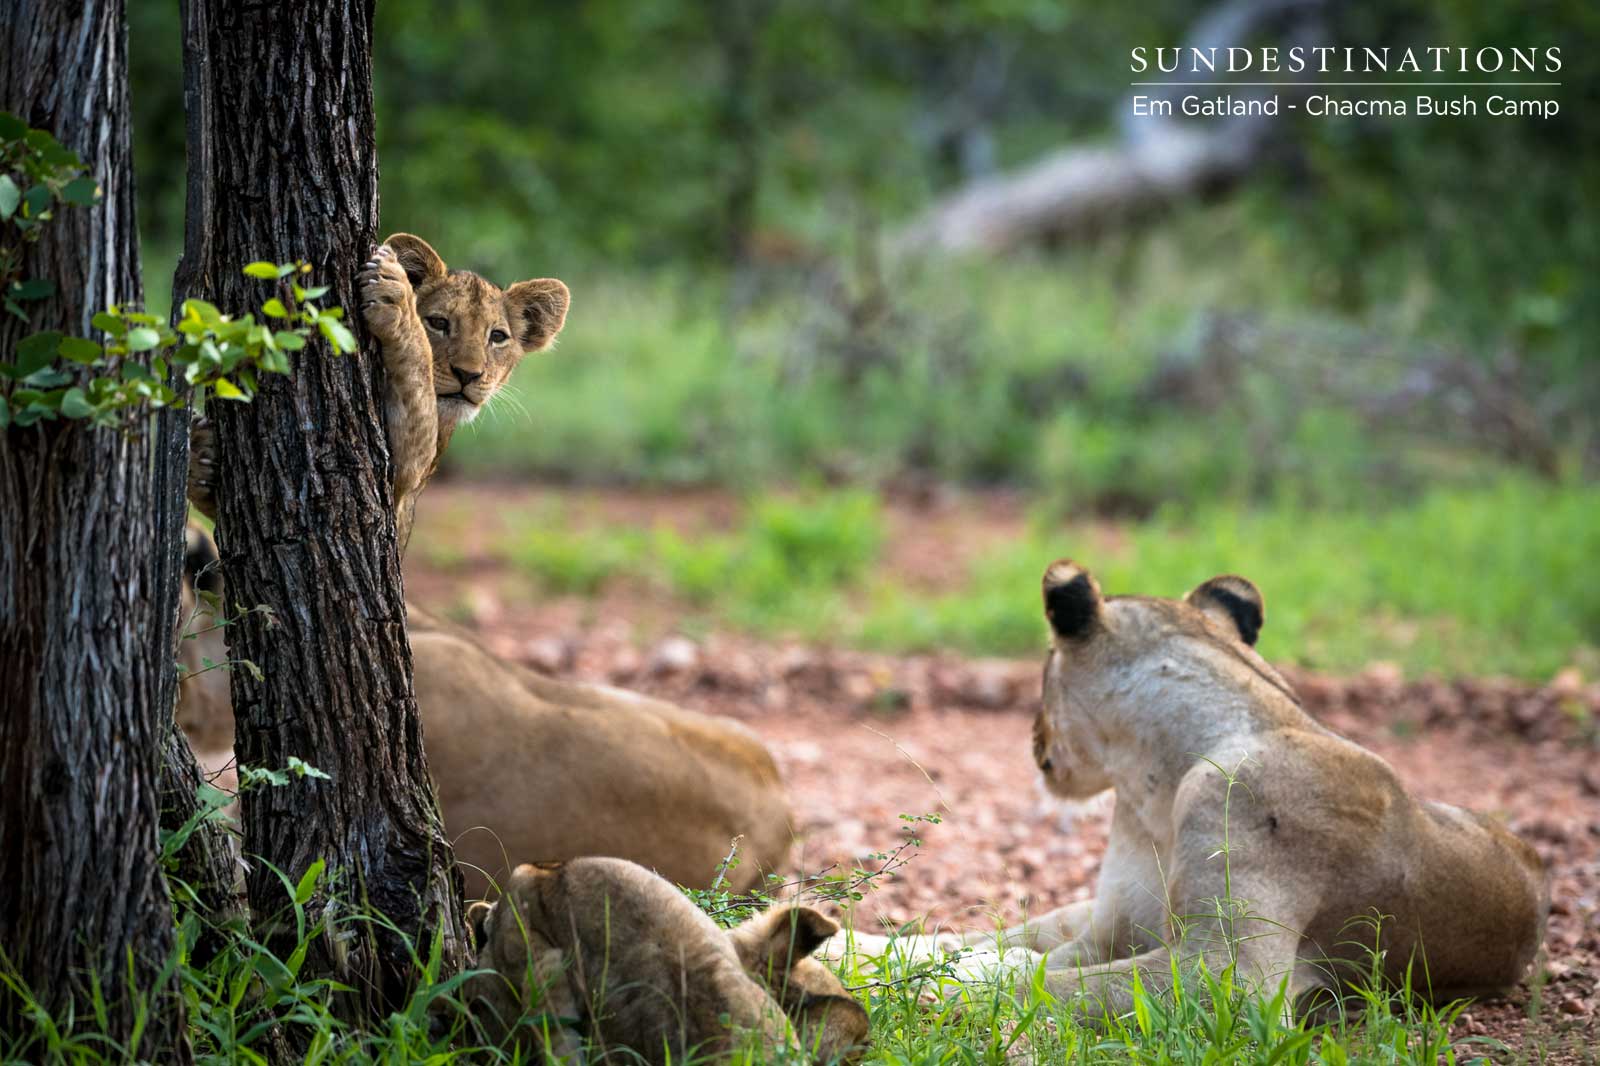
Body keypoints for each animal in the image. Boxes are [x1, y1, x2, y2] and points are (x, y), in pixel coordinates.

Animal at [834, 563, 1550, 1017]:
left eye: (1042, 673)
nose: (1032, 740)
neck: (1152, 788)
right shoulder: (1113, 921)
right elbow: (994, 947)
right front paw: (856, 960)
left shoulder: (1229, 977)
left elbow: (1037, 980)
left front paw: (890, 988)